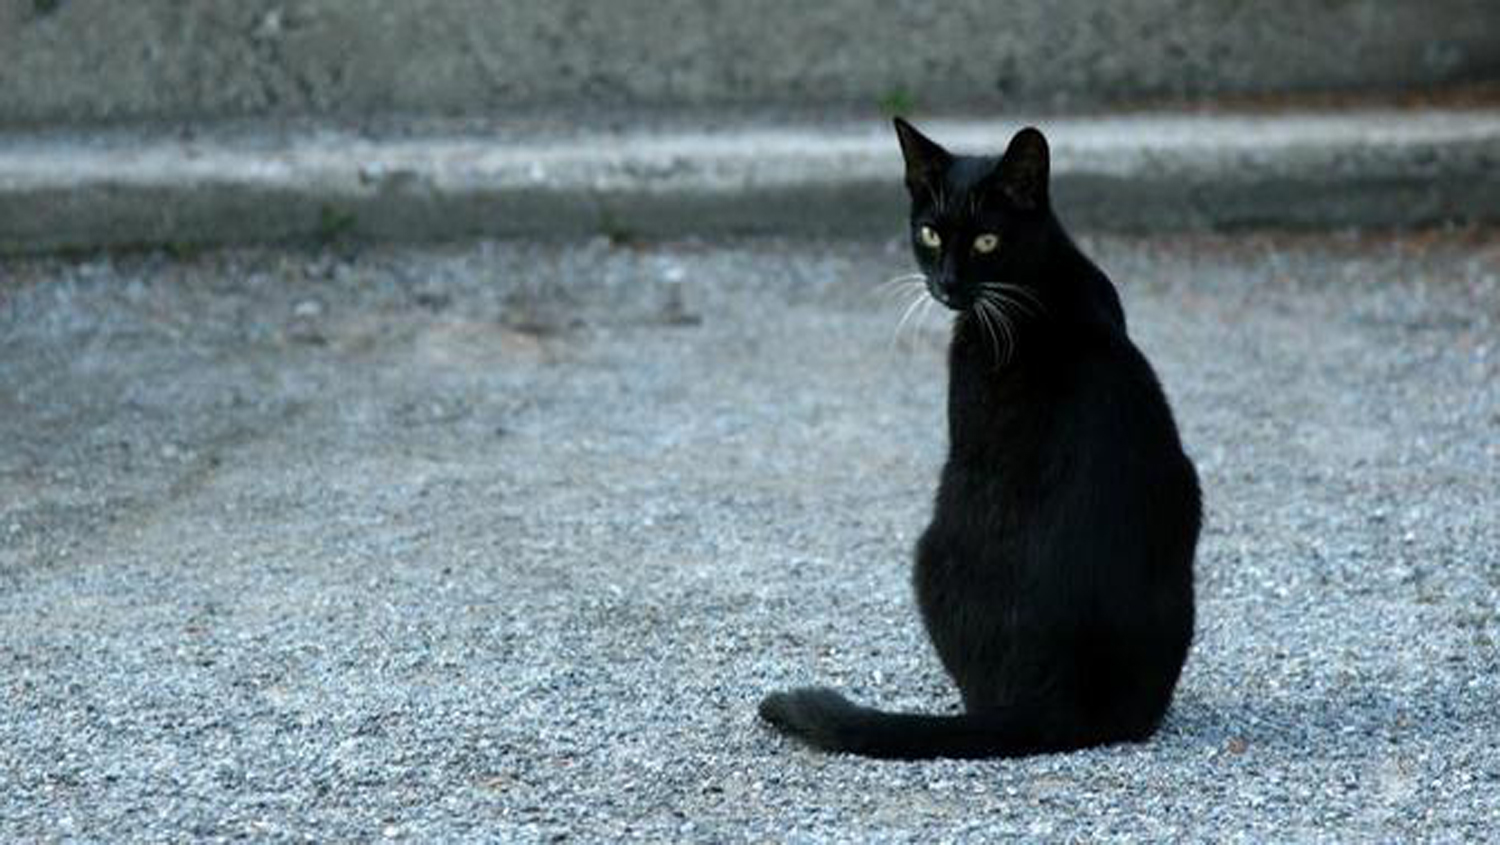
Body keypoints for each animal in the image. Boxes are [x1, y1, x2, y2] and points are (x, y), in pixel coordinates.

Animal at [756, 119, 1200, 759]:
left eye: (987, 242)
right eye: (930, 234)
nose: (946, 284)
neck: (1038, 285)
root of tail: (1060, 698)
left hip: (927, 548)